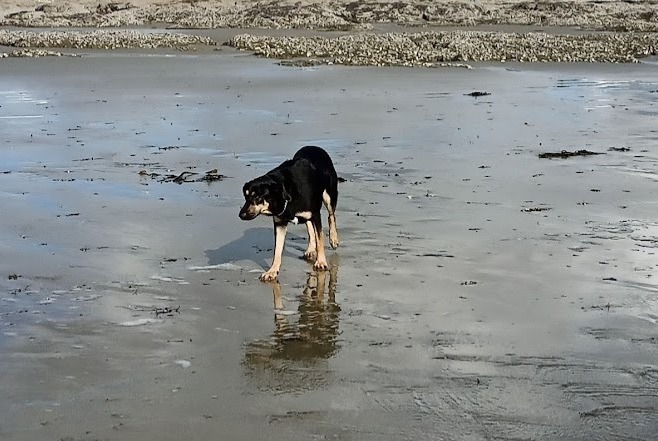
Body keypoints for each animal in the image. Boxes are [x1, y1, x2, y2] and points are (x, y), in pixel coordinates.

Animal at [238, 146, 338, 280]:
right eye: (246, 196)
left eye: (257, 197)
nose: (241, 215)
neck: (287, 192)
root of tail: (313, 147)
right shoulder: (280, 222)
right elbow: (277, 249)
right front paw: (272, 271)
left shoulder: (316, 214)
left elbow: (320, 238)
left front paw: (321, 262)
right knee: (309, 226)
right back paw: (311, 248)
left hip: (329, 195)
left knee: (331, 216)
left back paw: (334, 239)